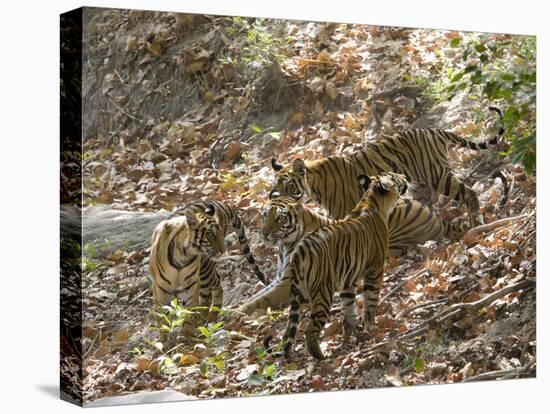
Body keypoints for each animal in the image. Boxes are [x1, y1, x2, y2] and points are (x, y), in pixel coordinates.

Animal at [268, 171, 410, 360]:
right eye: (394, 176)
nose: (404, 176)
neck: (372, 200)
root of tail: (299, 250)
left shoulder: (347, 279)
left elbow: (348, 307)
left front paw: (351, 333)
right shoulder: (375, 269)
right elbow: (370, 300)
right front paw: (371, 327)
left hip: (298, 294)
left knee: (287, 332)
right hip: (323, 291)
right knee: (310, 329)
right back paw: (321, 356)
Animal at [272, 105, 504, 225]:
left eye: (289, 187)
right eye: (276, 188)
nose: (280, 200)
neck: (313, 187)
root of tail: (433, 130)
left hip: (438, 175)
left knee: (469, 193)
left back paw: (476, 222)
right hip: (418, 185)